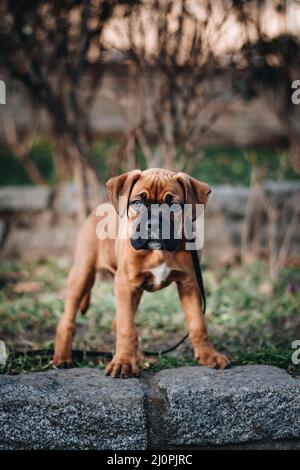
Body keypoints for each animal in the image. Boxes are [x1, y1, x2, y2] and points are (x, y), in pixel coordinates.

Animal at [53, 169, 227, 378]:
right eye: (137, 202)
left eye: (173, 205)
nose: (154, 224)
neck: (158, 252)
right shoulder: (125, 285)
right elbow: (127, 328)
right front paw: (123, 363)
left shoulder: (189, 283)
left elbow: (198, 323)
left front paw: (209, 355)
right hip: (84, 274)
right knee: (68, 319)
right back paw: (62, 357)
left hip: (134, 291)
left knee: (116, 321)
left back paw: (139, 357)